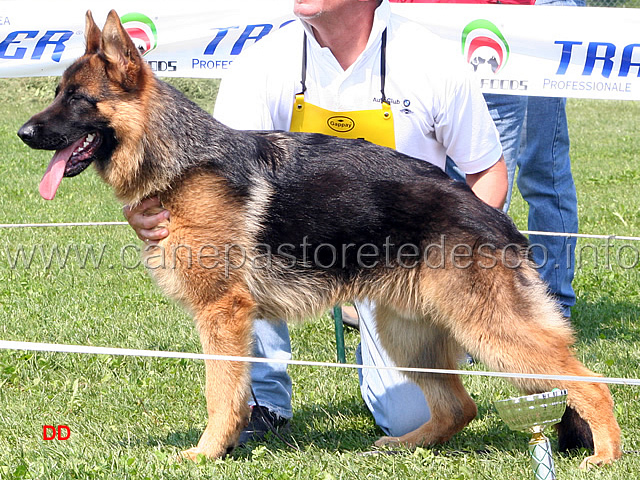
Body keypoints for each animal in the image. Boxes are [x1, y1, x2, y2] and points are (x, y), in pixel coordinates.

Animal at [18, 11, 620, 466]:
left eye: (79, 99)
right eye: (56, 93)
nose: (23, 132)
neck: (179, 160)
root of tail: (489, 215)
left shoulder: (221, 313)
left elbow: (220, 392)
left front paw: (207, 452)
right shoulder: (237, 315)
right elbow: (235, 390)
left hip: (489, 330)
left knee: (589, 380)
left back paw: (605, 455)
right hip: (408, 332)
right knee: (458, 407)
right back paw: (402, 446)